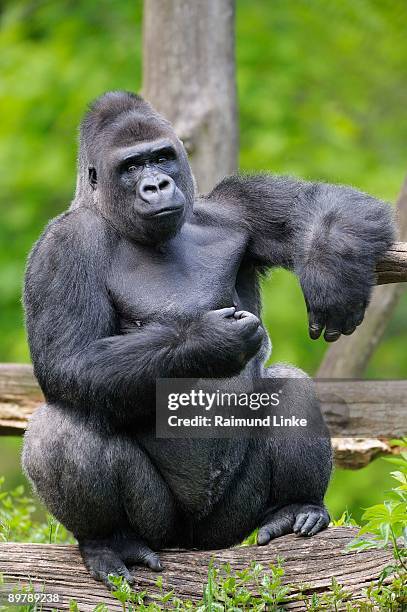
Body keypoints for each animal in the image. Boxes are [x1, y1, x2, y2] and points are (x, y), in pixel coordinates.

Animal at [21, 89, 396, 584]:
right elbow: (69, 359)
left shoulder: (232, 207)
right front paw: (209, 341)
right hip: (161, 526)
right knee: (61, 425)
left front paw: (333, 269)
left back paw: (294, 507)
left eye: (162, 157)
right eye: (131, 167)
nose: (157, 185)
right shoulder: (60, 247)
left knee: (289, 384)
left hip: (230, 522)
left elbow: (325, 204)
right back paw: (109, 540)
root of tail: (191, 542)